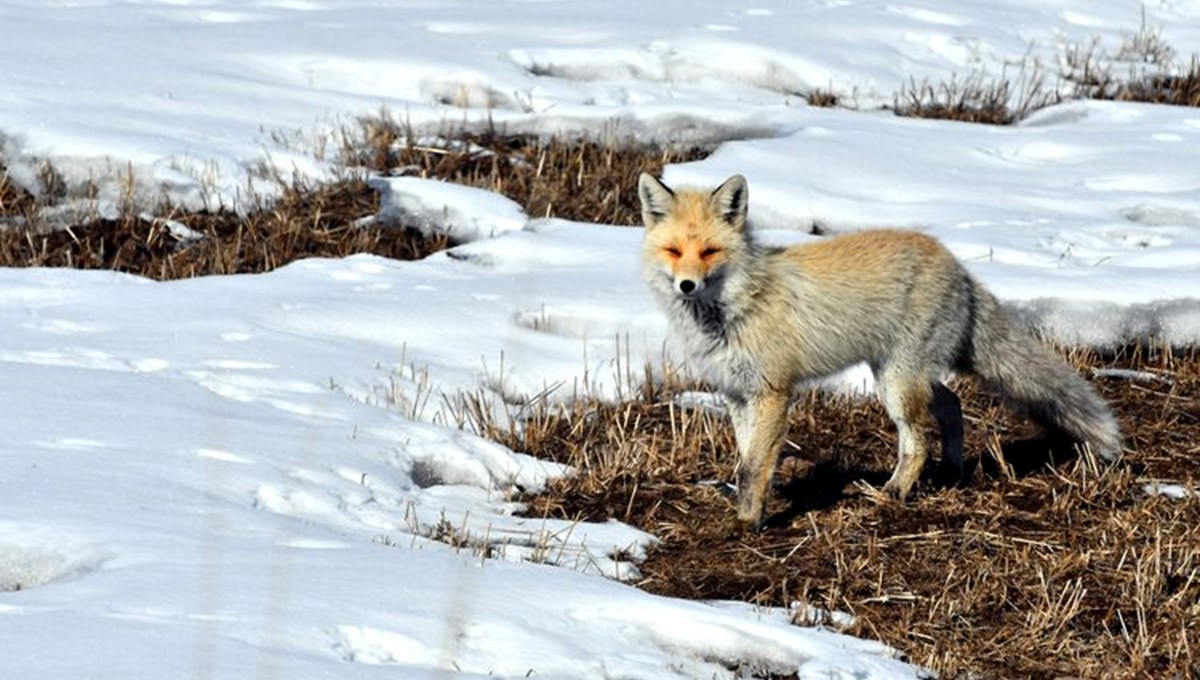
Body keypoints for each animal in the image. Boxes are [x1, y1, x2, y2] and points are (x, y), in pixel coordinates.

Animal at [638, 172, 1123, 530]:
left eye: (710, 251)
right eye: (674, 251)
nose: (686, 285)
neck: (732, 309)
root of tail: (958, 267)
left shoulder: (773, 392)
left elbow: (754, 466)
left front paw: (748, 524)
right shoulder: (737, 395)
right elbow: (744, 460)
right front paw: (746, 511)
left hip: (897, 381)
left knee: (919, 440)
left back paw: (894, 493)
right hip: (900, 372)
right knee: (952, 404)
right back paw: (952, 473)